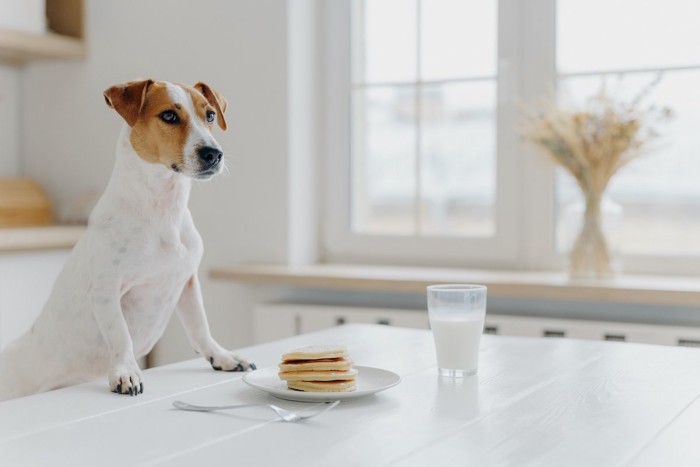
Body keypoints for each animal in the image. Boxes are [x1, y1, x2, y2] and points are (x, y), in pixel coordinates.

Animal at [0, 78, 256, 400]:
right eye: (169, 116)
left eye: (210, 114)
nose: (213, 153)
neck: (163, 210)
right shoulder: (106, 291)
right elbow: (120, 336)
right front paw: (126, 372)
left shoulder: (186, 281)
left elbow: (200, 325)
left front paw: (221, 356)